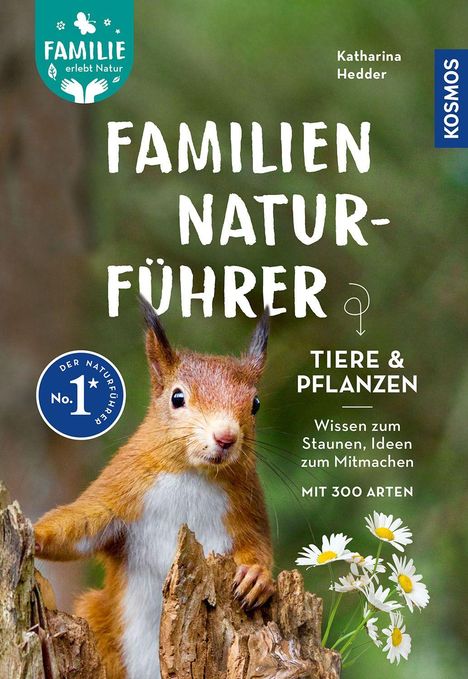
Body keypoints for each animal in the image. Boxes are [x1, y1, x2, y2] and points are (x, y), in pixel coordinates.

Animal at [34, 298, 274, 679]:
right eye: (177, 398)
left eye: (255, 404)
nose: (226, 438)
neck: (192, 474)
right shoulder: (121, 490)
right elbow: (81, 526)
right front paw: (34, 535)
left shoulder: (246, 508)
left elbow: (258, 545)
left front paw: (257, 576)